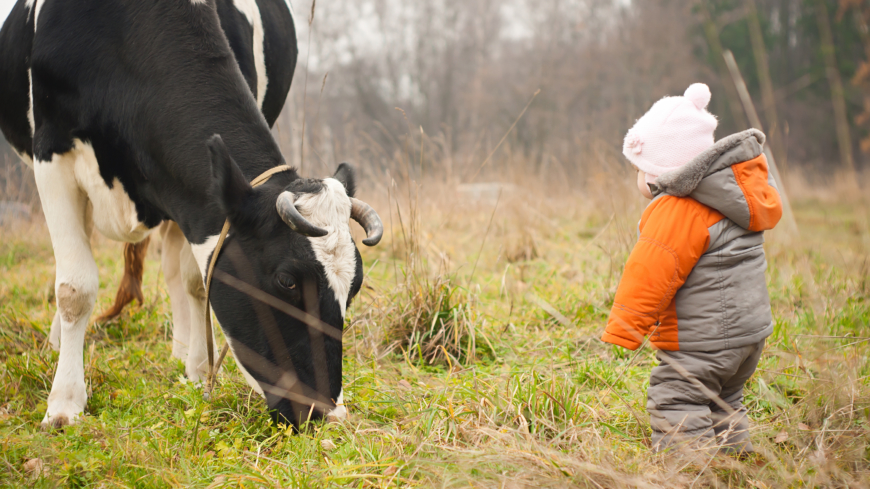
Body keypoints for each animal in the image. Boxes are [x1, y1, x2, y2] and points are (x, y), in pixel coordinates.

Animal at [0, 0, 382, 428]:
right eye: (287, 281)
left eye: (355, 285)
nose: (327, 412)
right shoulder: (51, 155)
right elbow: (75, 288)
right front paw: (64, 403)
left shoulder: (194, 199)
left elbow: (196, 281)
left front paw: (198, 372)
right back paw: (56, 343)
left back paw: (181, 349)